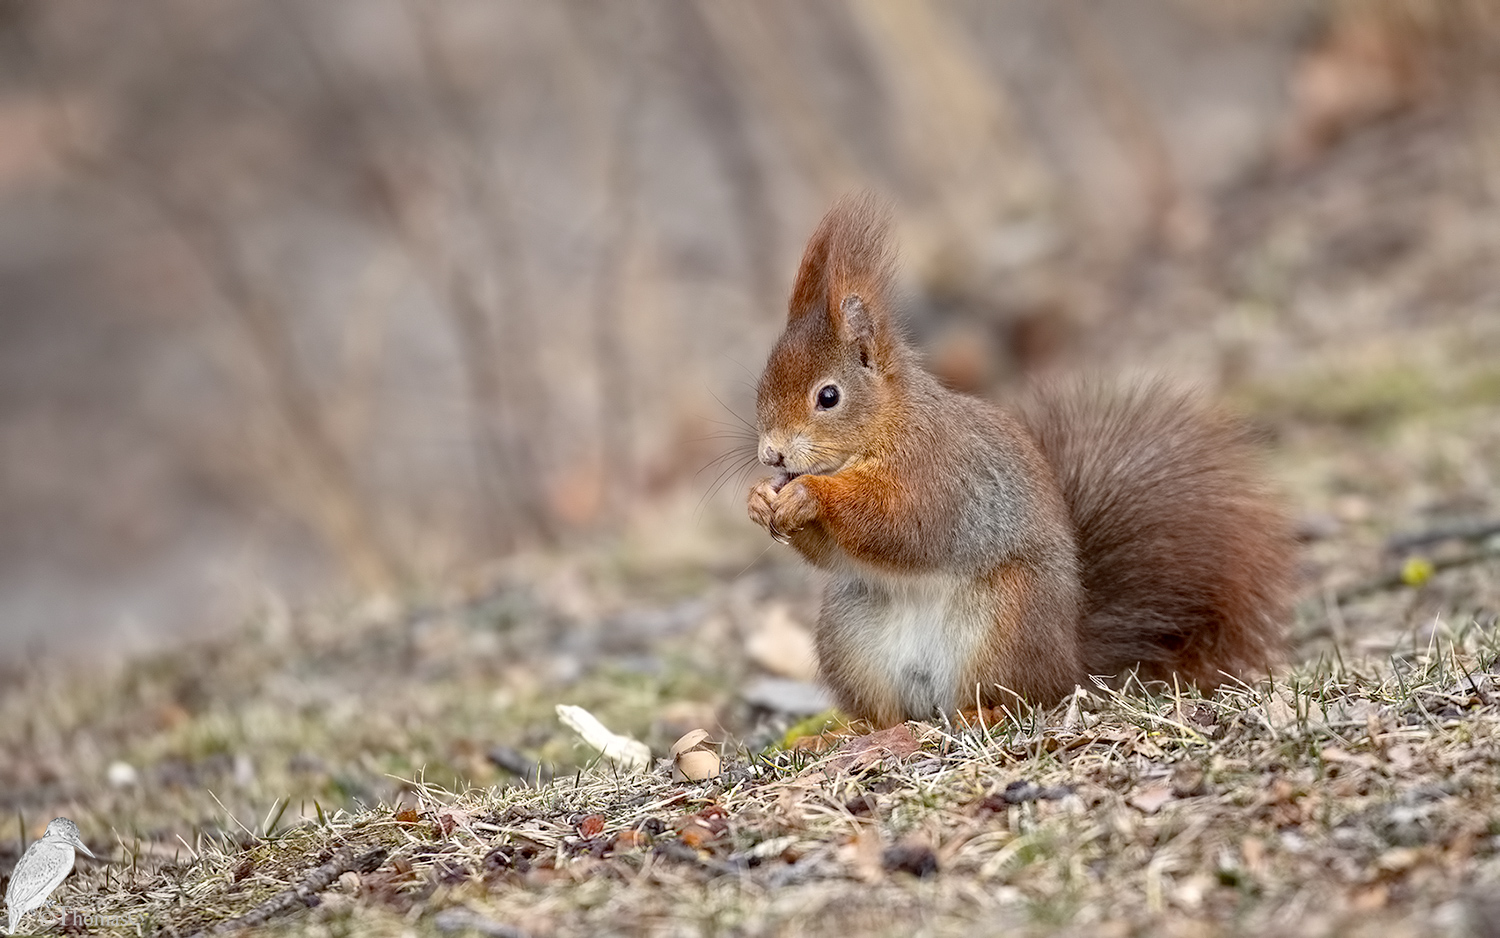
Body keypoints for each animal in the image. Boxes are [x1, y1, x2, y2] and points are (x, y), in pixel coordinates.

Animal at [744, 195, 1296, 723]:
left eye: (829, 397)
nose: (771, 453)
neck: (885, 426)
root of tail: (1070, 659)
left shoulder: (940, 471)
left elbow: (902, 522)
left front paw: (809, 494)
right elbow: (835, 553)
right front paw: (759, 499)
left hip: (1007, 620)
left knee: (1021, 696)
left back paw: (981, 713)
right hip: (852, 636)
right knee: (889, 713)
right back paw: (849, 731)